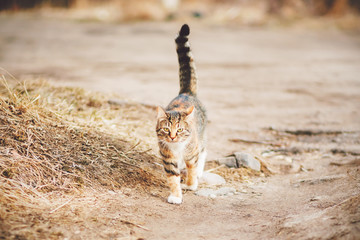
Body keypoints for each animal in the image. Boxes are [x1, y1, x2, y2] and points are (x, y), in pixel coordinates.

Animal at [155, 23, 208, 204]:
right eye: (166, 129)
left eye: (179, 130)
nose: (172, 137)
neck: (177, 147)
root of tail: (186, 92)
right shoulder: (167, 156)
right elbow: (173, 177)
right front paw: (176, 196)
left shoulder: (191, 152)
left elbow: (192, 167)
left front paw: (191, 184)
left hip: (201, 137)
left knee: (203, 151)